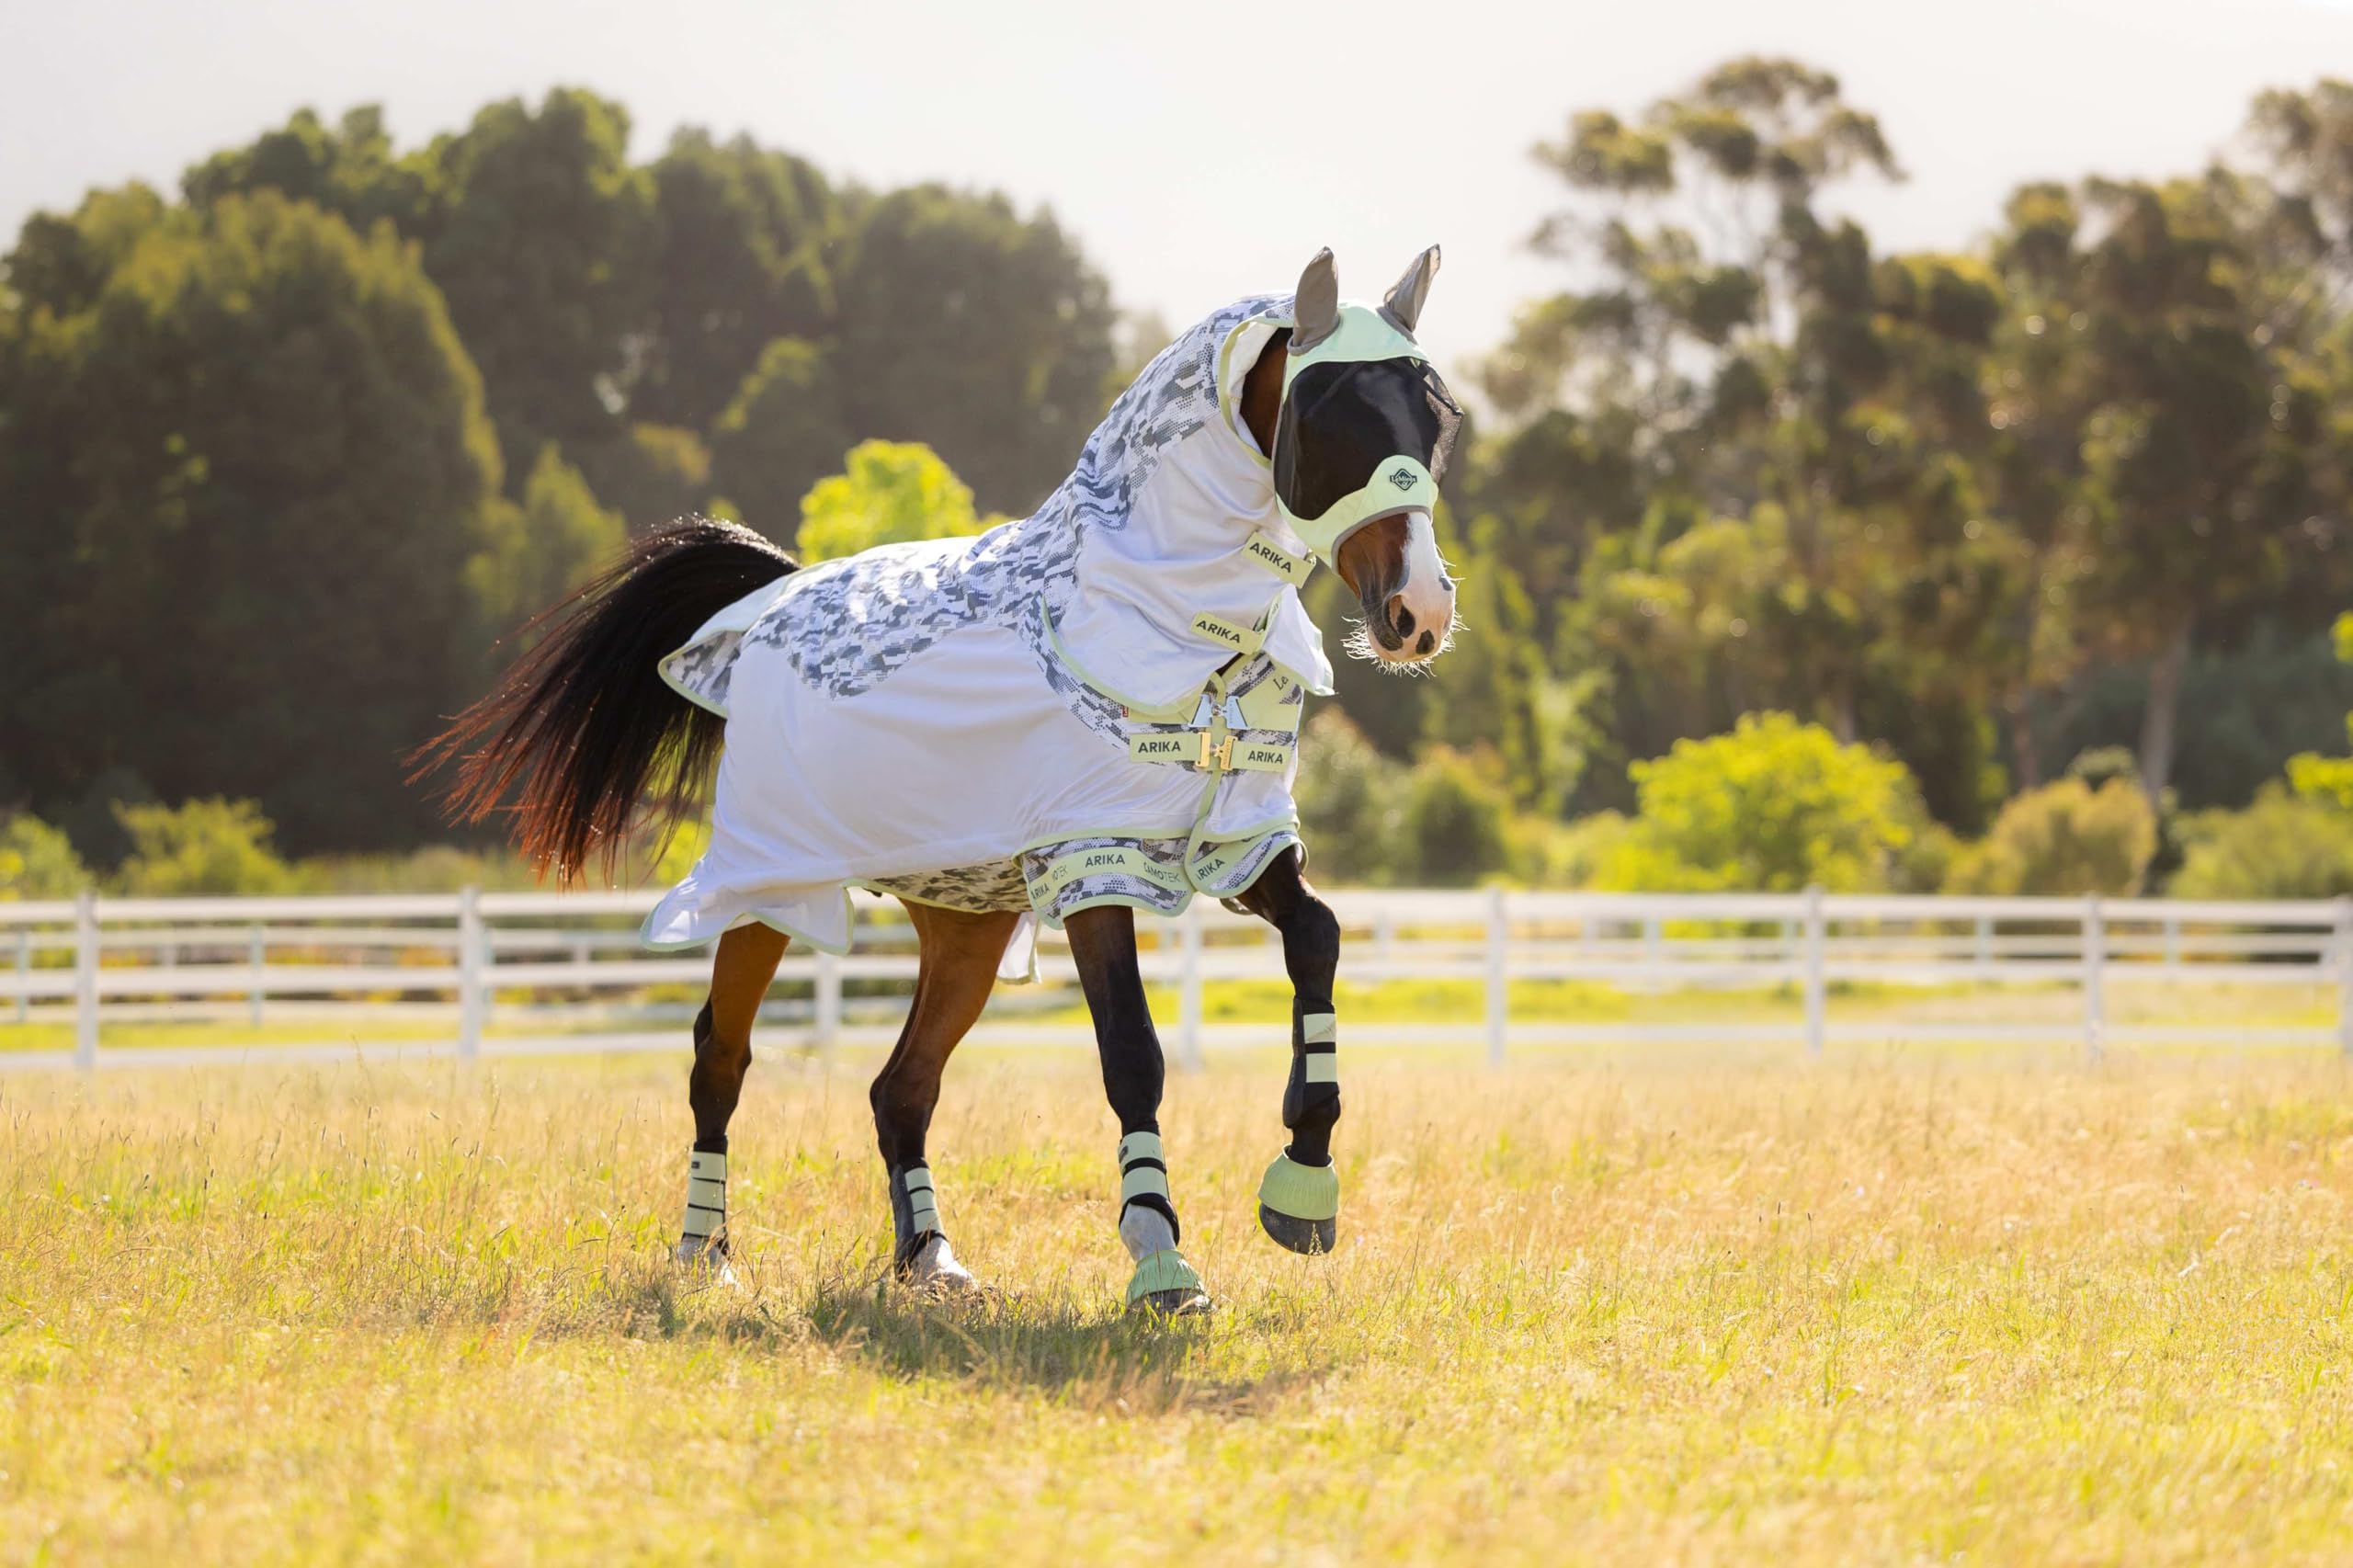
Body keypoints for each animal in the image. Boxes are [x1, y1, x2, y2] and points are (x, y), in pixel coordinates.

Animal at [418, 246, 1463, 1314]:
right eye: (1327, 416)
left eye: (1439, 421)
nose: (1418, 613)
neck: (1170, 625)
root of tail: (774, 592)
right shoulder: (1091, 860)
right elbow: (1131, 1051)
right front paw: (1162, 1259)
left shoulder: (1235, 842)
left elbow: (1319, 938)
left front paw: (1302, 1186)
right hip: (767, 889)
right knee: (721, 1057)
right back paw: (706, 1256)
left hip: (966, 926)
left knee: (901, 1085)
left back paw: (931, 1260)